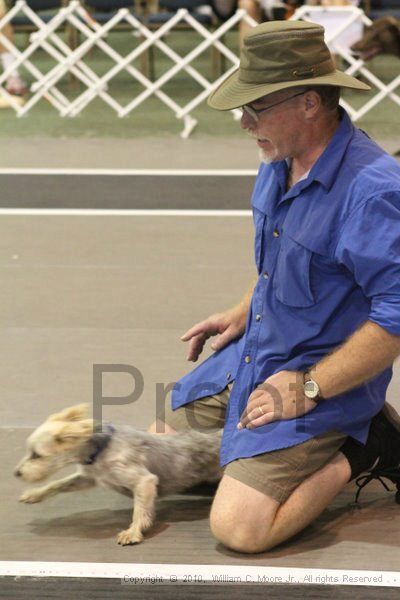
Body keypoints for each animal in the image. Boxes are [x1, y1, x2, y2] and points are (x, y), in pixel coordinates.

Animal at [14, 406, 222, 548]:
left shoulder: (144, 481)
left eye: (36, 455)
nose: (16, 472)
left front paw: (133, 532)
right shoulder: (88, 478)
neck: (102, 448)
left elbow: (140, 511)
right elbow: (57, 484)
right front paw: (35, 494)